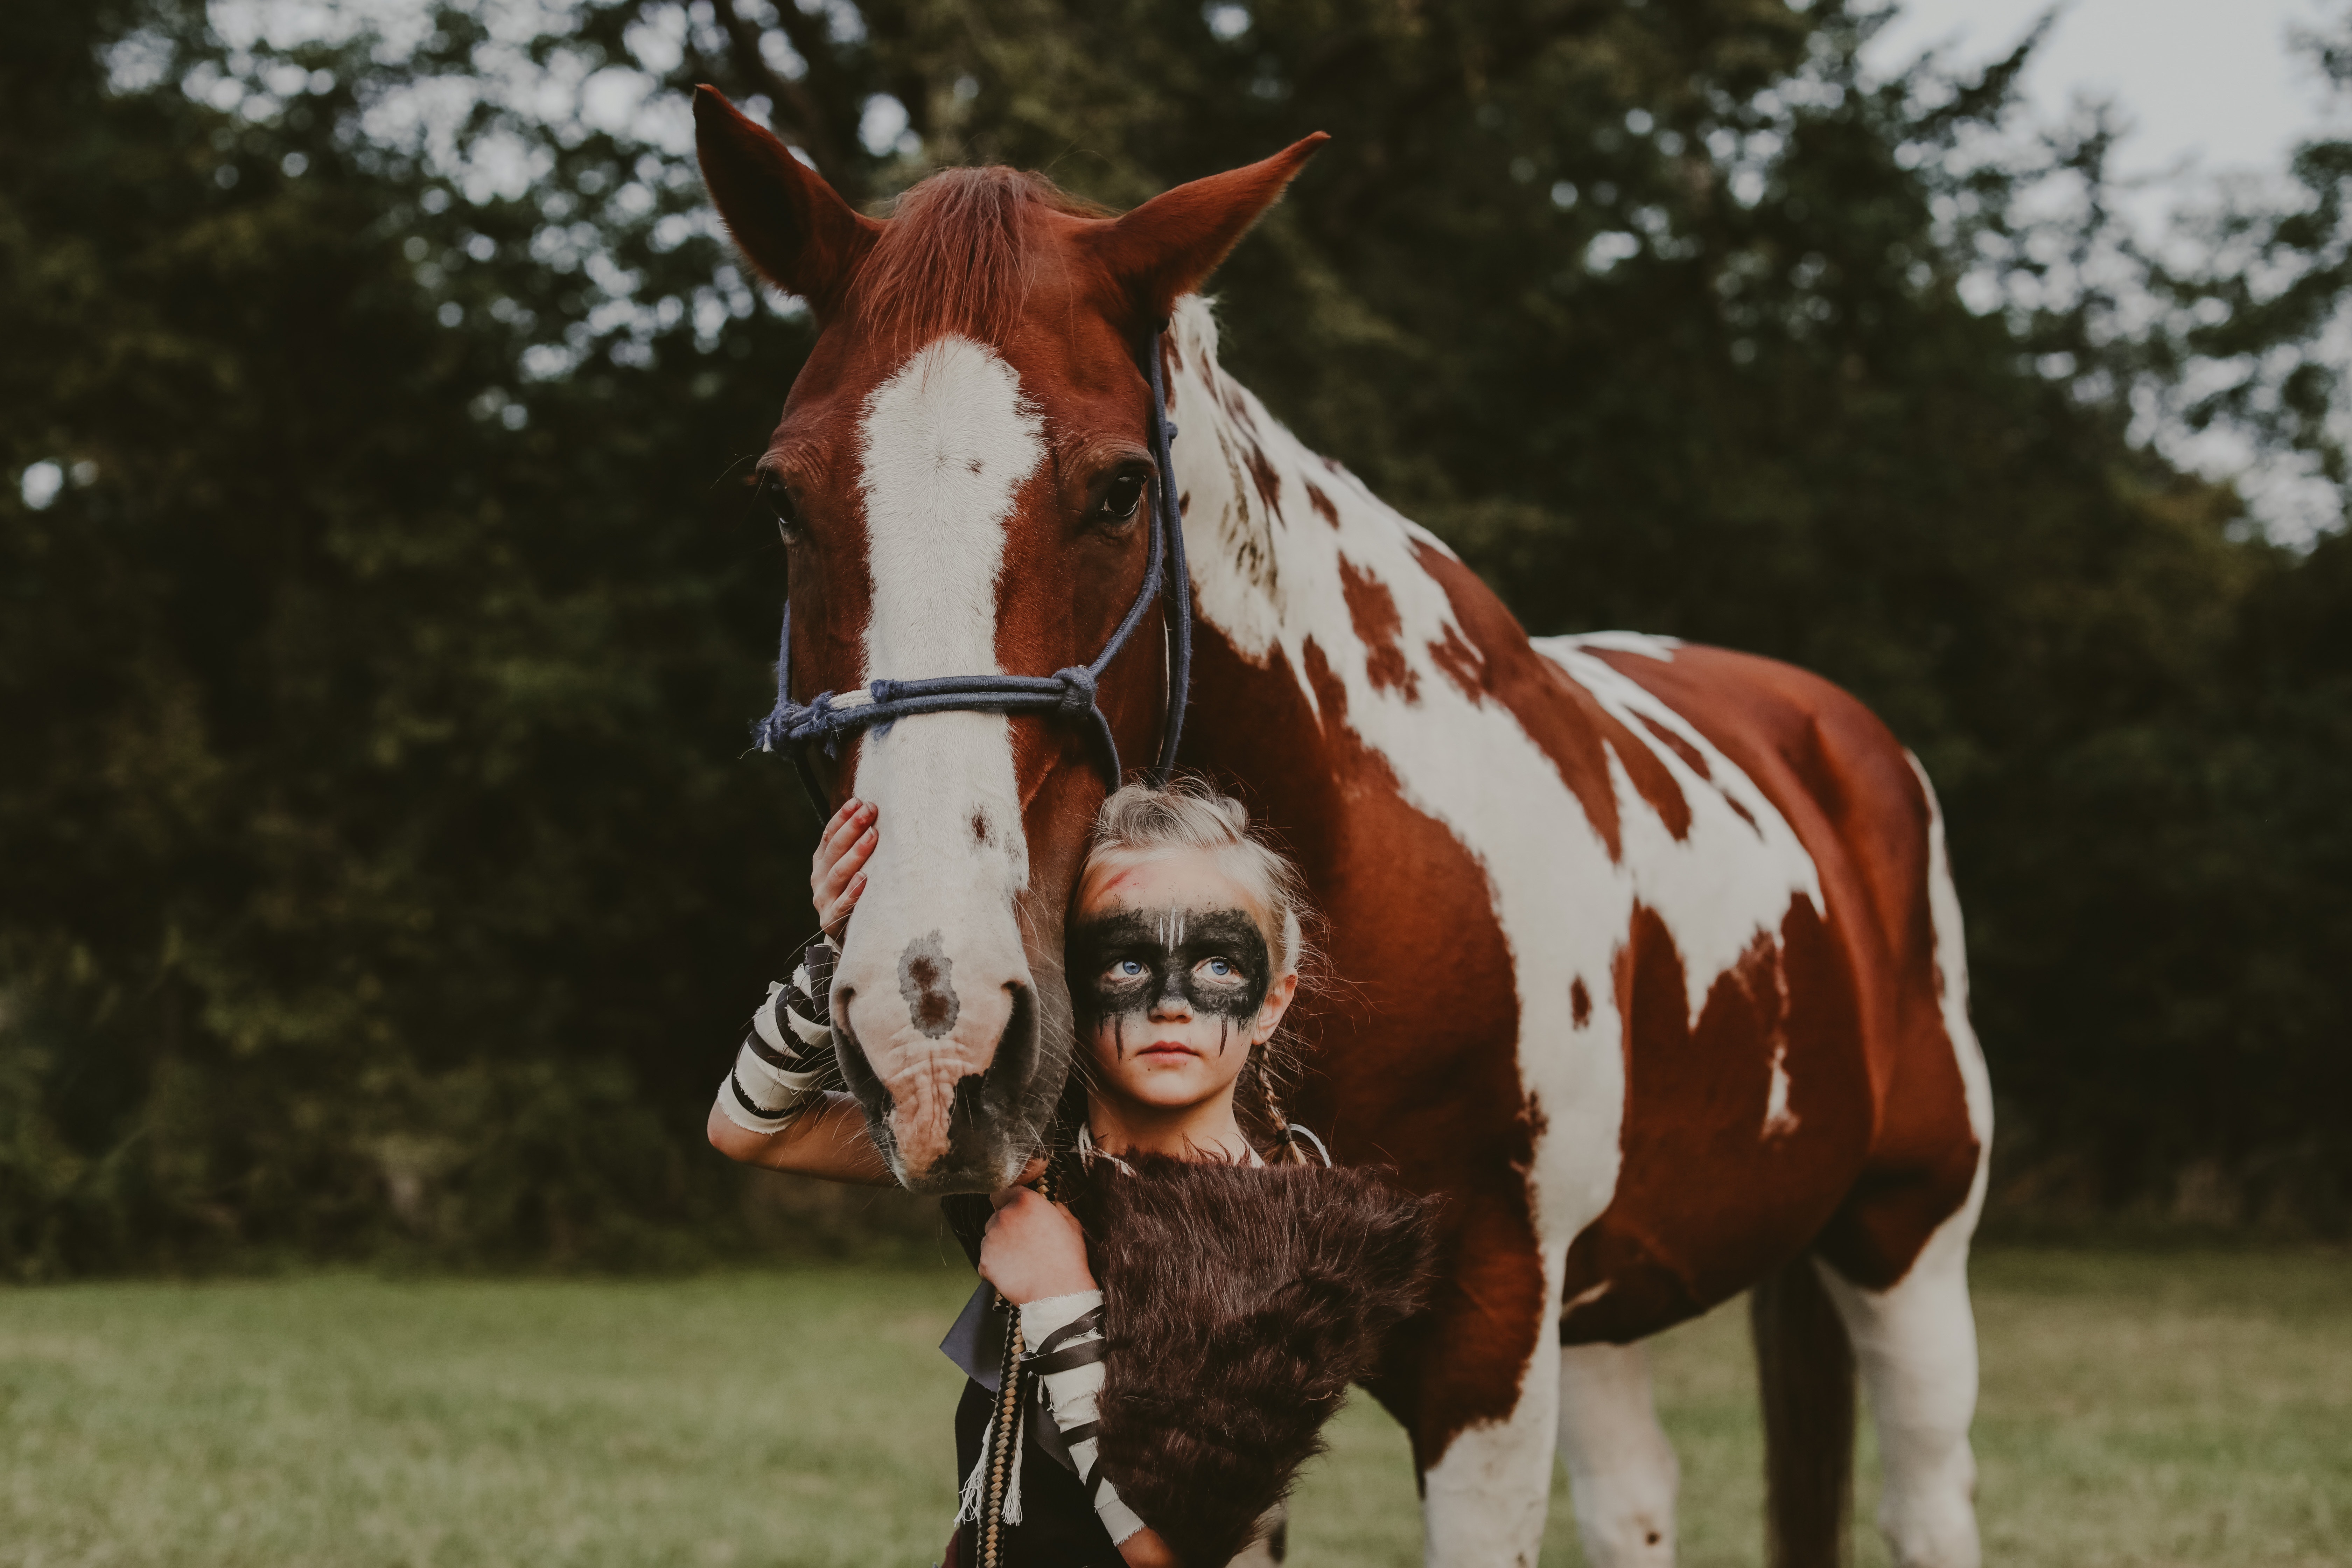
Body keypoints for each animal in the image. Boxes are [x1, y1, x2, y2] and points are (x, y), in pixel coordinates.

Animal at [691, 89, 1985, 1568]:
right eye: (782, 497)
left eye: (1120, 489)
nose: (934, 1026)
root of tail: (1836, 734)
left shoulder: (1489, 1352)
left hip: (1909, 1240)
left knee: (1926, 1491)